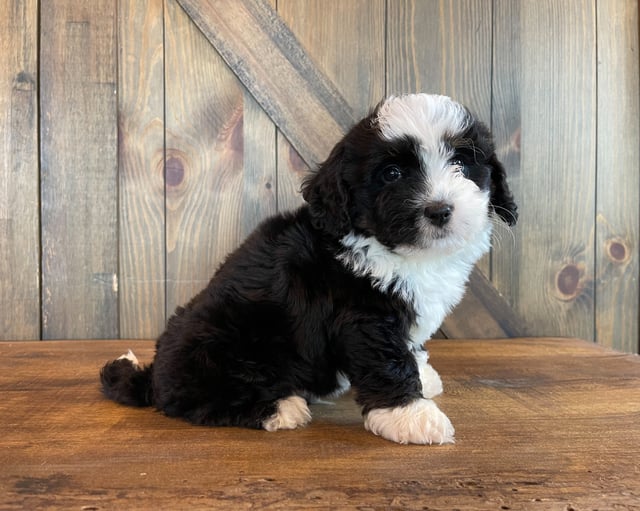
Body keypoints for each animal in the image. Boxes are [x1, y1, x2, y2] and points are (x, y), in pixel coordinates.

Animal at [101, 94, 520, 446]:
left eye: (462, 164)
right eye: (392, 174)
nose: (439, 209)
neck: (400, 251)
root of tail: (153, 375)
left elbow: (408, 346)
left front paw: (422, 373)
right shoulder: (363, 316)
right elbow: (387, 360)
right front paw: (410, 415)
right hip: (218, 343)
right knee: (195, 399)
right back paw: (280, 407)